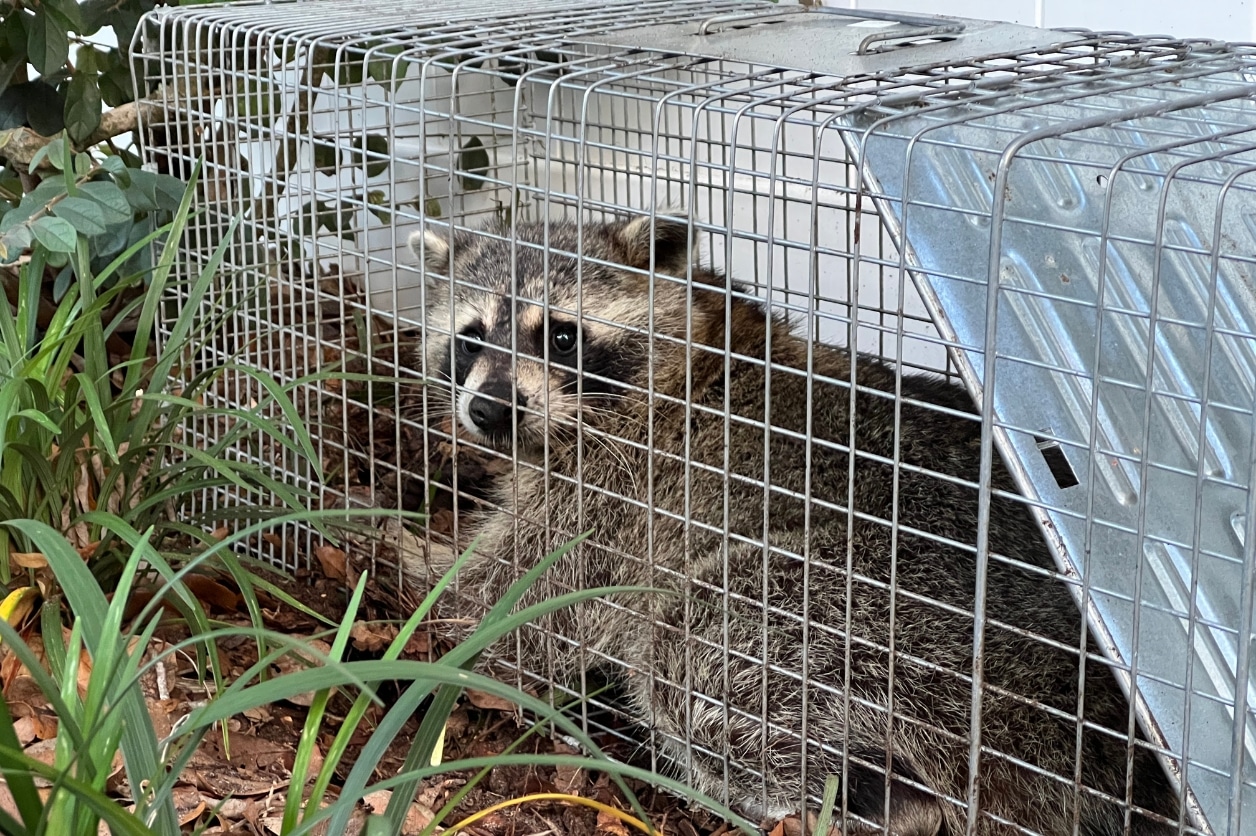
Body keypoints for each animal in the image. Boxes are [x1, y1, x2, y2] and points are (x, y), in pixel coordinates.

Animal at [406, 214, 1180, 833]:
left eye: (563, 337)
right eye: (471, 339)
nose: (489, 410)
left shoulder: (616, 501)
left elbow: (510, 608)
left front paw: (410, 577)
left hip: (867, 615)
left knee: (690, 645)